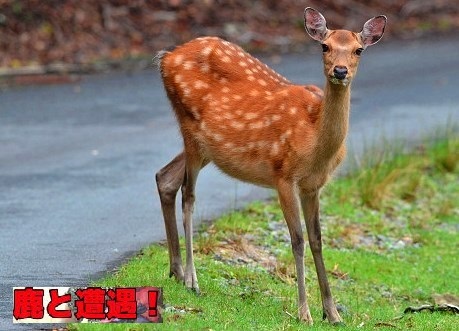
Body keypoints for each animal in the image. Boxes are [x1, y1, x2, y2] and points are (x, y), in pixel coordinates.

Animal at [155, 6, 388, 326]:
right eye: (324, 46)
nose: (340, 71)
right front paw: (304, 313)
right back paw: (192, 280)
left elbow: (317, 239)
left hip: (207, 148)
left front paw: (332, 313)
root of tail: (166, 57)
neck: (314, 142)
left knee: (165, 177)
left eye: (358, 50)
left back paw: (176, 272)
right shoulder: (283, 175)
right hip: (189, 127)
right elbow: (297, 240)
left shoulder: (313, 185)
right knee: (188, 196)